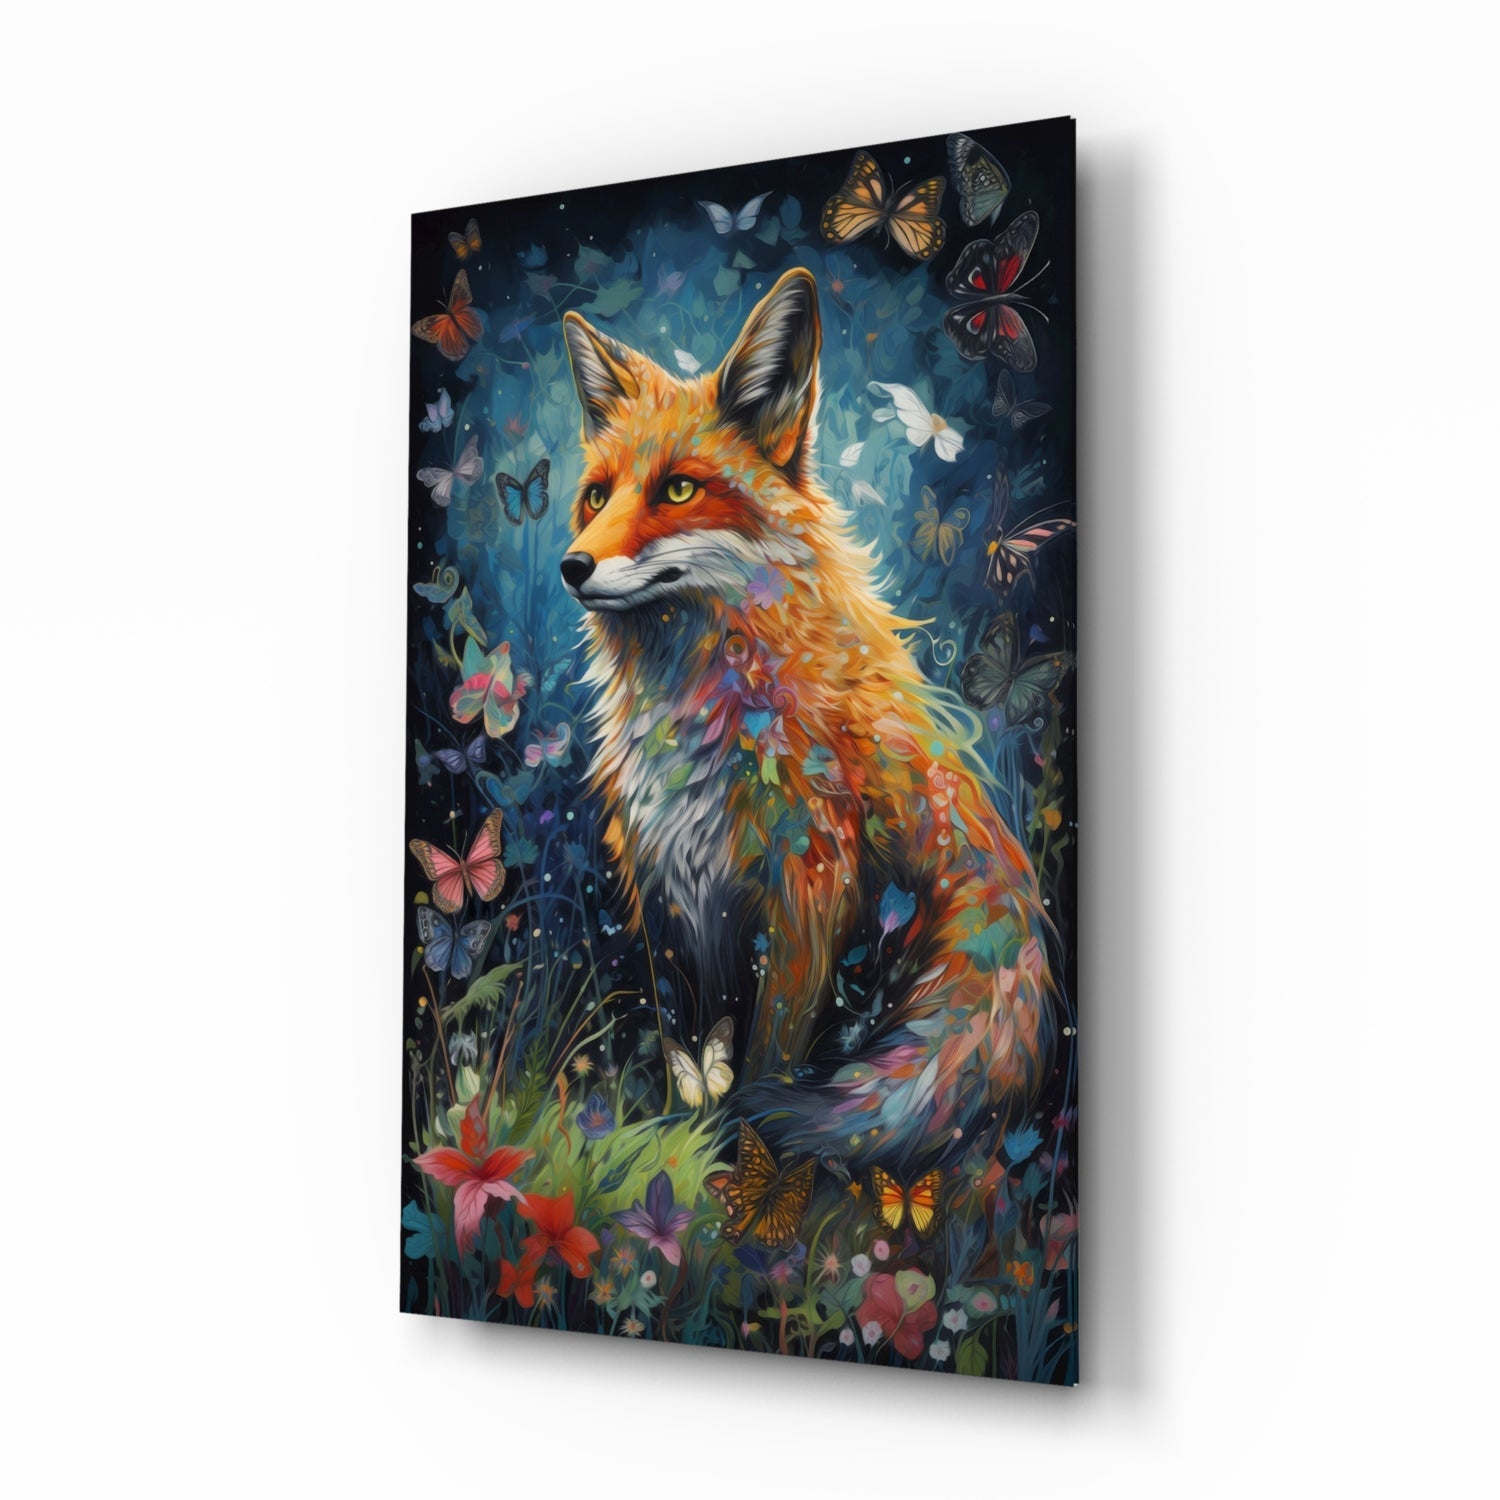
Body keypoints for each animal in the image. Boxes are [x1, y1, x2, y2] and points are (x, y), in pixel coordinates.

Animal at [559, 268, 1060, 1171]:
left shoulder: (808, 889)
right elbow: (684, 1030)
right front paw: (686, 1110)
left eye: (678, 488)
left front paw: (729, 1156)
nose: (571, 566)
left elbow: (767, 1054)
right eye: (596, 496)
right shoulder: (663, 879)